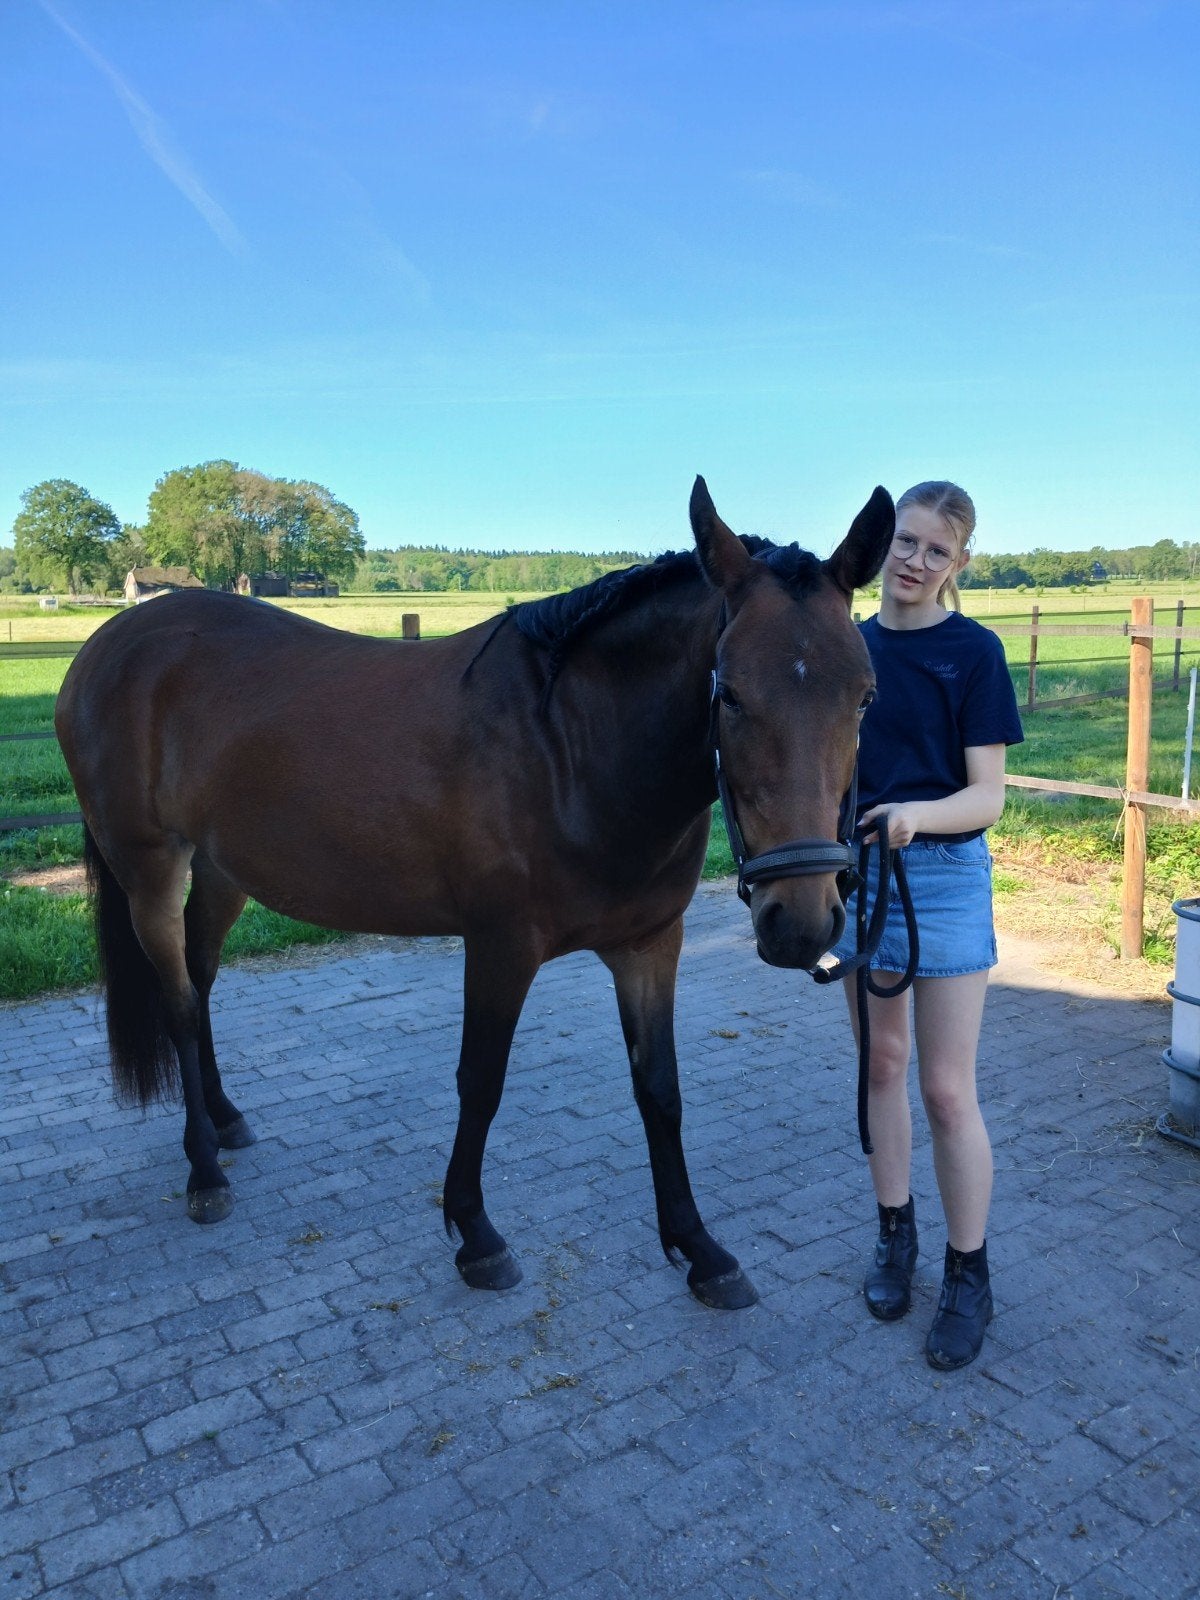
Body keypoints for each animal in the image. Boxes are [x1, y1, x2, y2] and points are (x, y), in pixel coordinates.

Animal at [55, 478, 892, 1309]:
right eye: (732, 694)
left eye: (864, 697)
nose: (800, 921)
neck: (569, 747)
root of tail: (108, 644)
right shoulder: (500, 947)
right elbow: (480, 1084)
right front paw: (476, 1234)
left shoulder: (650, 945)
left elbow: (660, 1089)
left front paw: (700, 1248)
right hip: (151, 871)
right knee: (176, 1003)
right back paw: (204, 1170)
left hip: (224, 871)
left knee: (198, 983)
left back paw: (226, 1122)